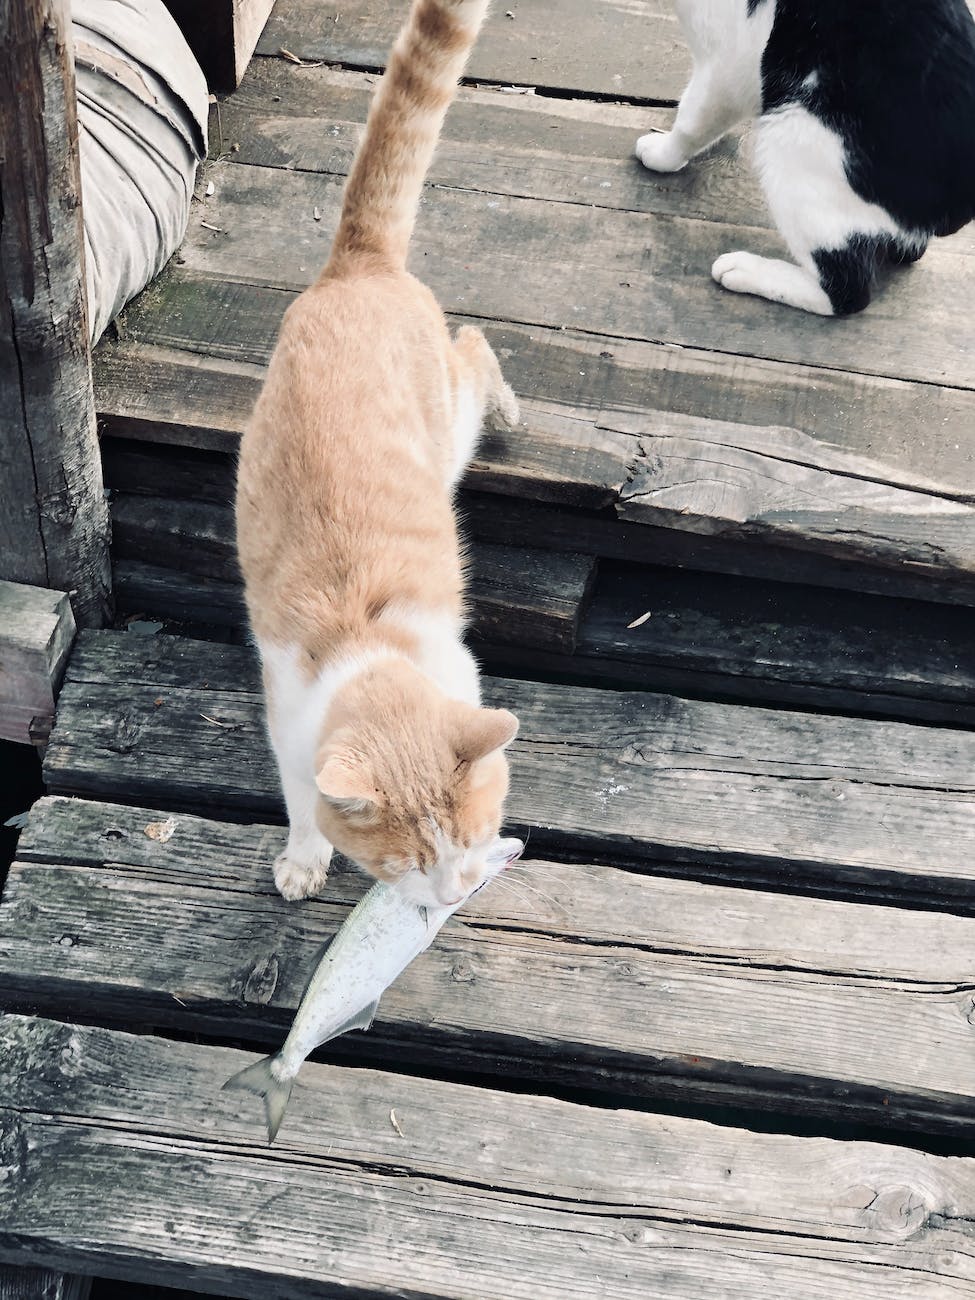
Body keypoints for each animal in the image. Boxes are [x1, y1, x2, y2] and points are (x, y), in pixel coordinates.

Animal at [235, 0, 520, 909]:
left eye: (471, 835)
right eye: (403, 863)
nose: (453, 895)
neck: (367, 644)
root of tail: (354, 267)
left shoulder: (461, 674)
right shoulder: (287, 722)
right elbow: (300, 802)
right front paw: (302, 857)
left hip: (449, 418)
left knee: (476, 349)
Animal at [642, 0, 975, 314]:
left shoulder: (728, 67)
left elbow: (692, 120)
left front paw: (663, 154)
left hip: (793, 138)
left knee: (847, 292)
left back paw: (747, 270)